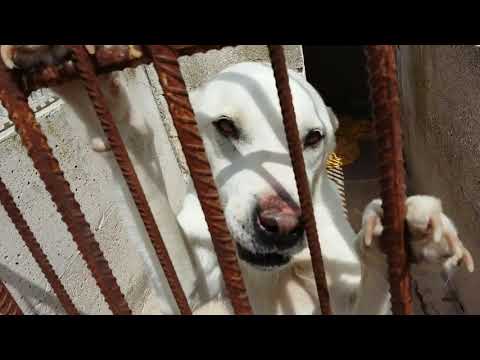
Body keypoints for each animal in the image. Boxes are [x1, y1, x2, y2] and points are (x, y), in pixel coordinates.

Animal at [0, 46, 472, 314]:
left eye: (312, 138)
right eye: (225, 127)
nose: (282, 226)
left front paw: (397, 233)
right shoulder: (190, 283)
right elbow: (135, 161)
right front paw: (94, 93)